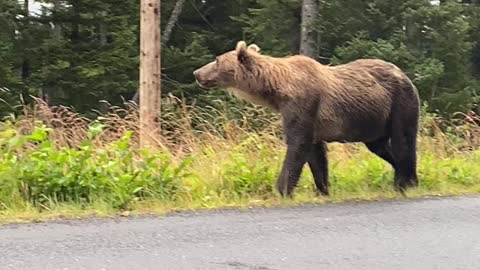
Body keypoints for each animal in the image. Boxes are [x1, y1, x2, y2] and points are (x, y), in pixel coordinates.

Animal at [193, 40, 418, 196]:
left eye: (216, 60)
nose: (197, 73)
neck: (277, 90)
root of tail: (404, 74)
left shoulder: (303, 104)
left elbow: (297, 144)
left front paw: (281, 189)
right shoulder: (309, 119)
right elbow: (315, 154)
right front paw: (323, 189)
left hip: (399, 103)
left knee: (403, 141)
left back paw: (405, 182)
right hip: (374, 121)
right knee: (380, 146)